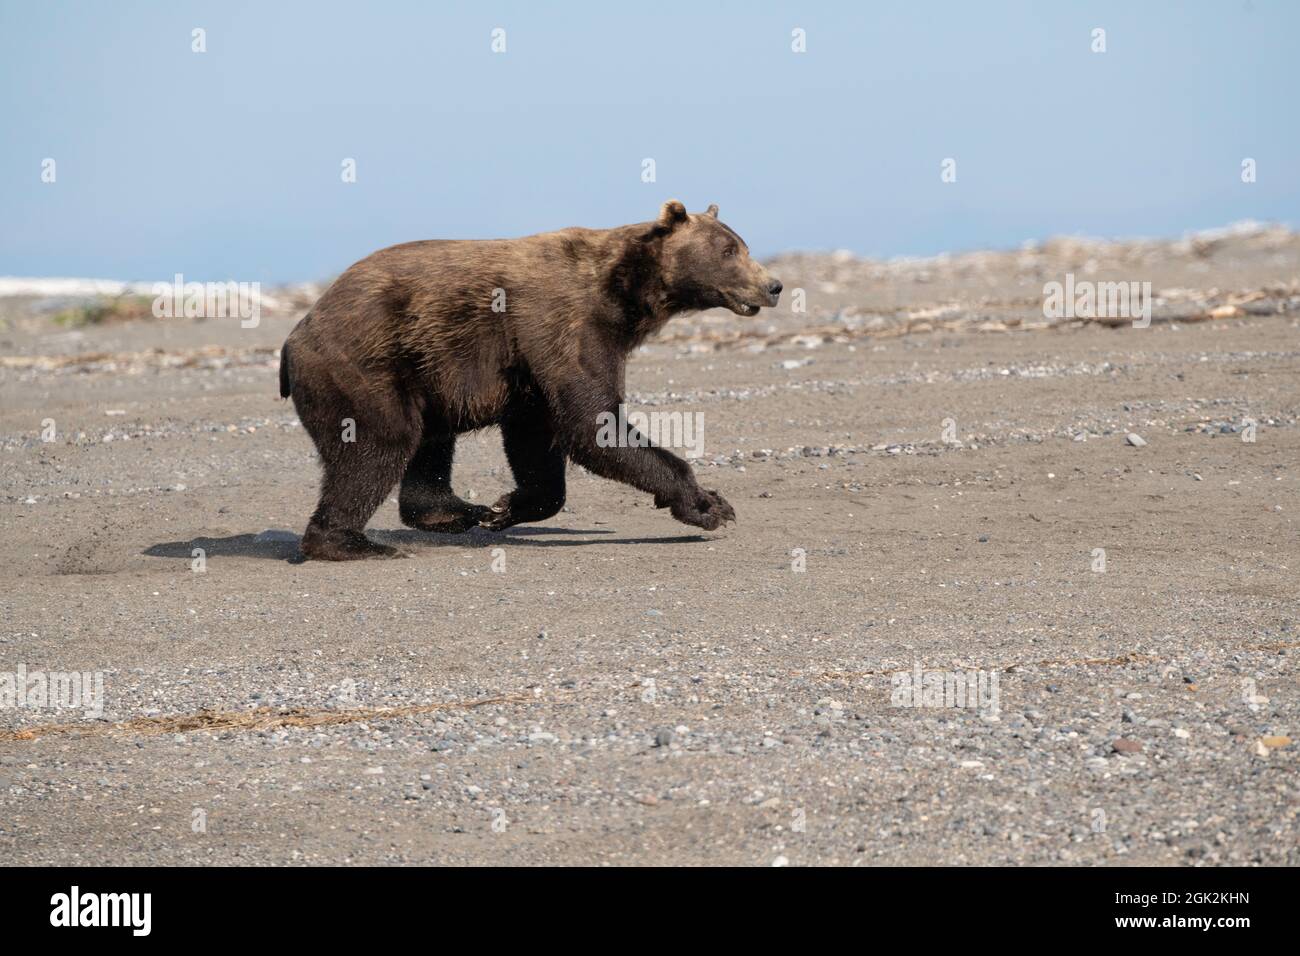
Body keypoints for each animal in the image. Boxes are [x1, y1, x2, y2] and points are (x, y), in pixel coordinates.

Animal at [278, 201, 774, 561]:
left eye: (743, 245)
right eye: (729, 251)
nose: (773, 286)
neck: (623, 295)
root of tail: (295, 334)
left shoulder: (534, 366)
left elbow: (537, 438)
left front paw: (505, 508)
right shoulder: (563, 326)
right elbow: (593, 425)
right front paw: (709, 504)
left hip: (426, 369)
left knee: (427, 441)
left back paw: (455, 512)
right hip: (364, 367)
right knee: (380, 444)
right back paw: (353, 543)